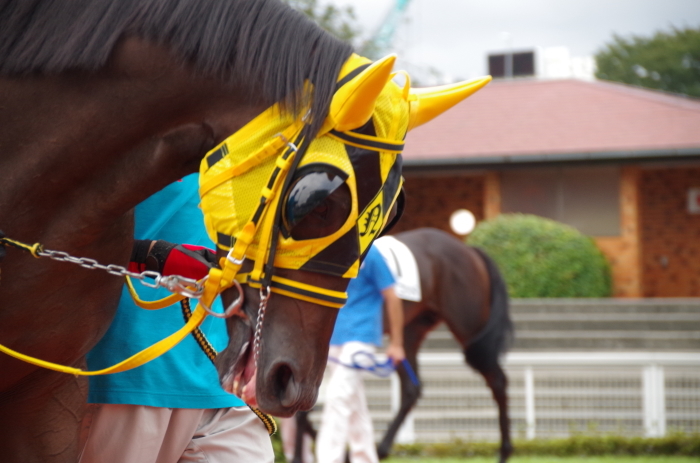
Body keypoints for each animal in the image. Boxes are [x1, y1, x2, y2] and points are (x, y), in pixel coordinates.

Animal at [290, 227, 516, 463]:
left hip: (468, 324)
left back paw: (504, 451)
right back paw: (381, 448)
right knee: (412, 389)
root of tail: (470, 251)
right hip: (409, 331)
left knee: (497, 380)